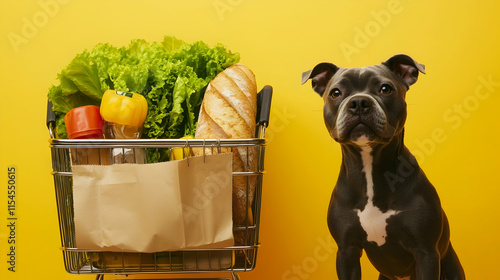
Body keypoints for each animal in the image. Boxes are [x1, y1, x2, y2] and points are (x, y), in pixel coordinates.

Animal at [298, 53, 466, 278]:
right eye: (335, 93)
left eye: (385, 89)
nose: (359, 102)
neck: (370, 171)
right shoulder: (346, 252)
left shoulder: (426, 253)